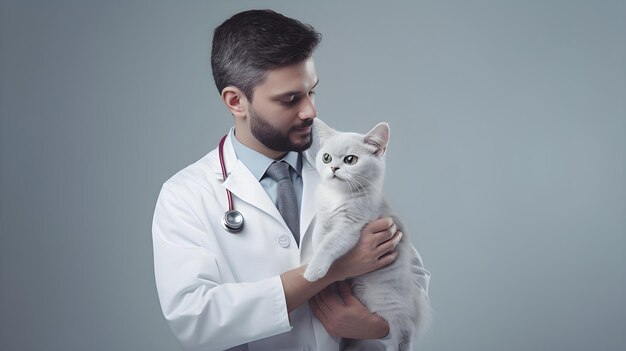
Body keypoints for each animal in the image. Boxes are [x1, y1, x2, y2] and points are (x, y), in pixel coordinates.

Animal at [302, 120, 428, 351]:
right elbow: (318, 238)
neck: (337, 196)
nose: (333, 168)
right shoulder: (323, 219)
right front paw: (311, 262)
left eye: (350, 160)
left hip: (386, 301)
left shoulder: (350, 227)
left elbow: (329, 244)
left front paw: (313, 271)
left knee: (404, 330)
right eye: (326, 158)